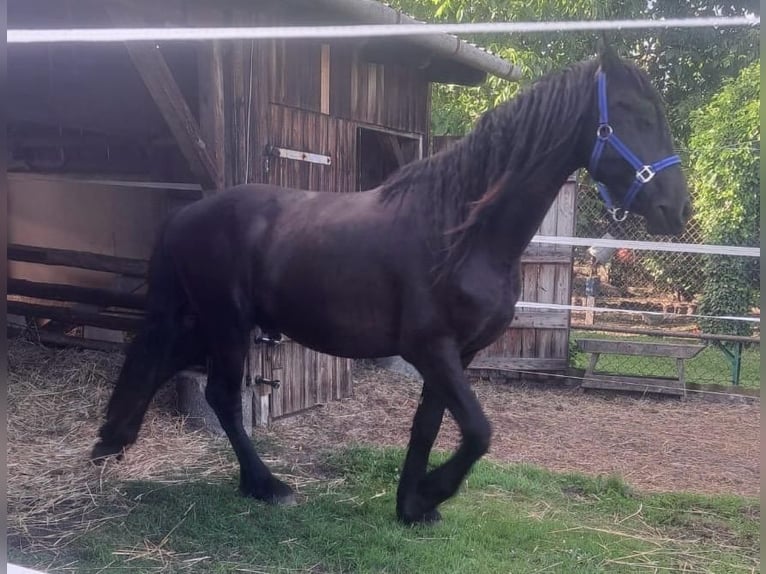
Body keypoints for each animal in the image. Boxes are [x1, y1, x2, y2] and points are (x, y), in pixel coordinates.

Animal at [93, 44, 692, 528]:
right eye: (635, 115)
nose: (677, 209)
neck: (461, 230)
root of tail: (188, 212)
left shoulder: (458, 355)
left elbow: (429, 426)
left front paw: (411, 506)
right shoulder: (431, 349)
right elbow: (478, 430)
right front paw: (431, 493)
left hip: (214, 323)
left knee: (162, 360)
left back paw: (112, 441)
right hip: (228, 324)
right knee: (220, 395)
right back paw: (265, 486)